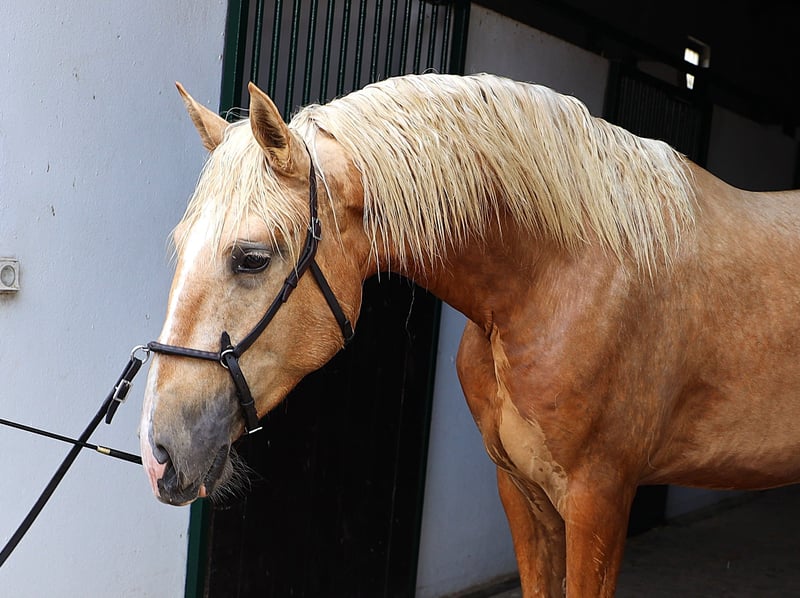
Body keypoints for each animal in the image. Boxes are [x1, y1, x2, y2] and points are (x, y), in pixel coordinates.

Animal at [139, 73, 800, 597]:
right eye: (180, 244)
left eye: (250, 258)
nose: (157, 452)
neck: (557, 279)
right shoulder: (523, 493)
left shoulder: (599, 501)